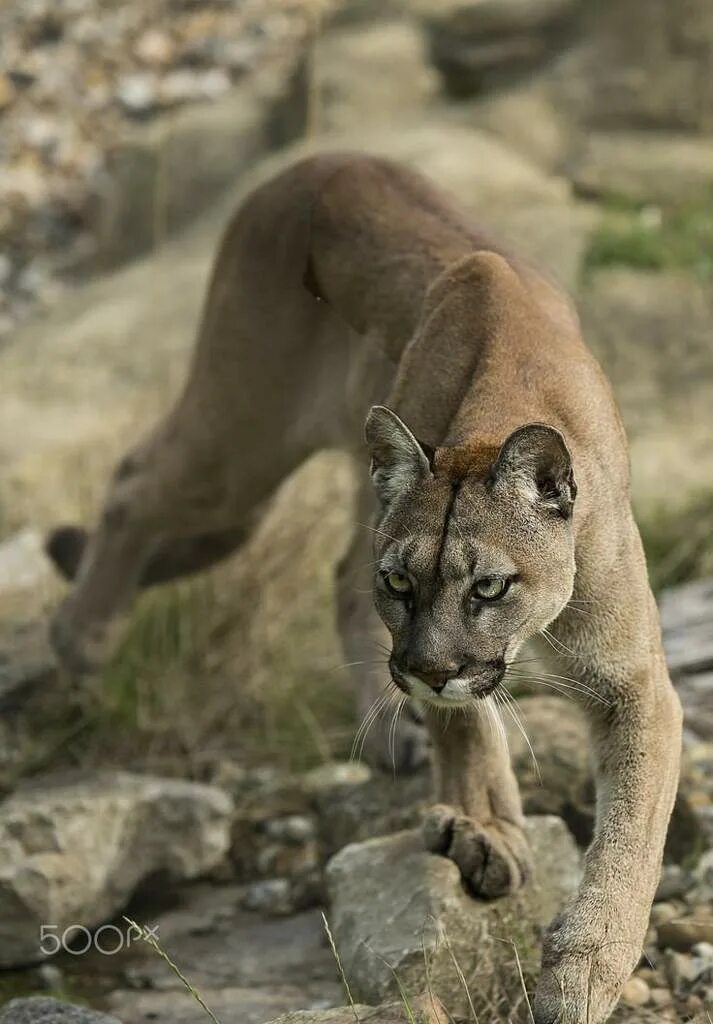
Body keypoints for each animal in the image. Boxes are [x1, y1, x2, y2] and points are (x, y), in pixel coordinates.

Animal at [47, 153, 684, 1024]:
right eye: (402, 582)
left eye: (489, 586)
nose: (425, 671)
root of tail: (319, 161)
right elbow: (467, 722)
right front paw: (483, 827)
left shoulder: (632, 682)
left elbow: (628, 838)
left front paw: (581, 977)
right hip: (240, 439)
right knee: (134, 484)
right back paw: (83, 643)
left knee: (331, 572)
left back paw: (386, 732)